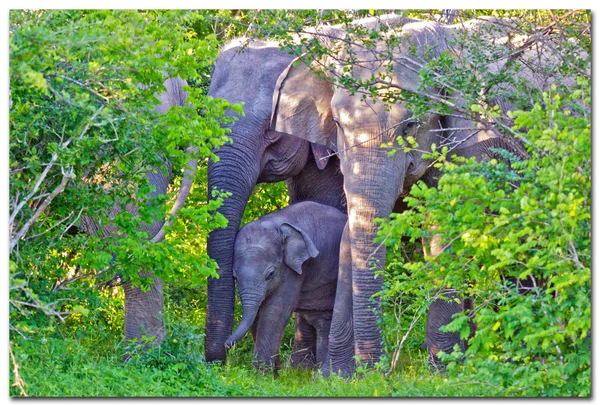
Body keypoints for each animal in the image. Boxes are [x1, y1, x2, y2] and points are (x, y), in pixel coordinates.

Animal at [224, 201, 346, 374]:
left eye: (270, 274)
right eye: (234, 277)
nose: (226, 345)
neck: (274, 223)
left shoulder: (292, 269)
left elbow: (275, 310)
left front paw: (260, 376)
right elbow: (259, 314)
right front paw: (274, 374)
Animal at [270, 18, 572, 374]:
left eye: (411, 125)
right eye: (339, 125)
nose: (371, 373)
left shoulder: (468, 140)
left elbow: (444, 231)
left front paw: (445, 371)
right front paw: (338, 374)